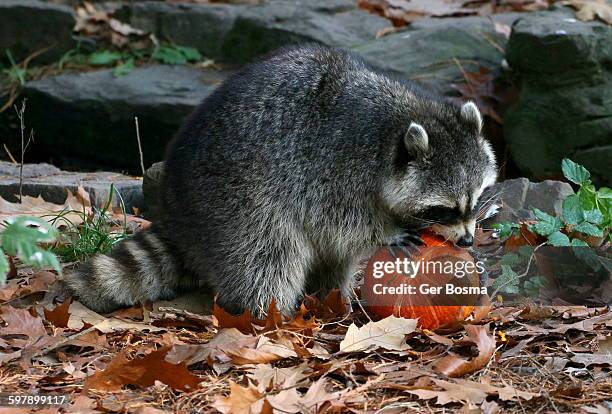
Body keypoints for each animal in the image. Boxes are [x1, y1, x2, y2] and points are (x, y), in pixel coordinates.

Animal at [63, 44, 498, 314]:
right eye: (443, 209)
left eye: (476, 200)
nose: (467, 240)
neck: (398, 122)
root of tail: (175, 205)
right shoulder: (332, 163)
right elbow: (338, 221)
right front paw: (385, 231)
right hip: (231, 196)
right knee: (267, 254)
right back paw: (269, 313)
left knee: (329, 259)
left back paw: (333, 295)